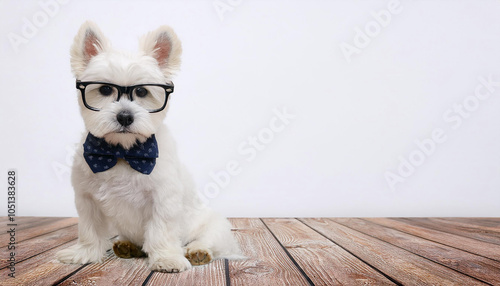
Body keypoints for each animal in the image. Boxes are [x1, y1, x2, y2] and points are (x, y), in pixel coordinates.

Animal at [55, 21, 241, 272]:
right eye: (105, 89)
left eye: (142, 91)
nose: (125, 117)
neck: (123, 151)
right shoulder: (87, 200)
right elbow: (89, 230)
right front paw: (84, 253)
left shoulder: (163, 200)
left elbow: (161, 231)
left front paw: (166, 258)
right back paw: (127, 246)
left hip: (215, 227)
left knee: (208, 241)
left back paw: (197, 251)